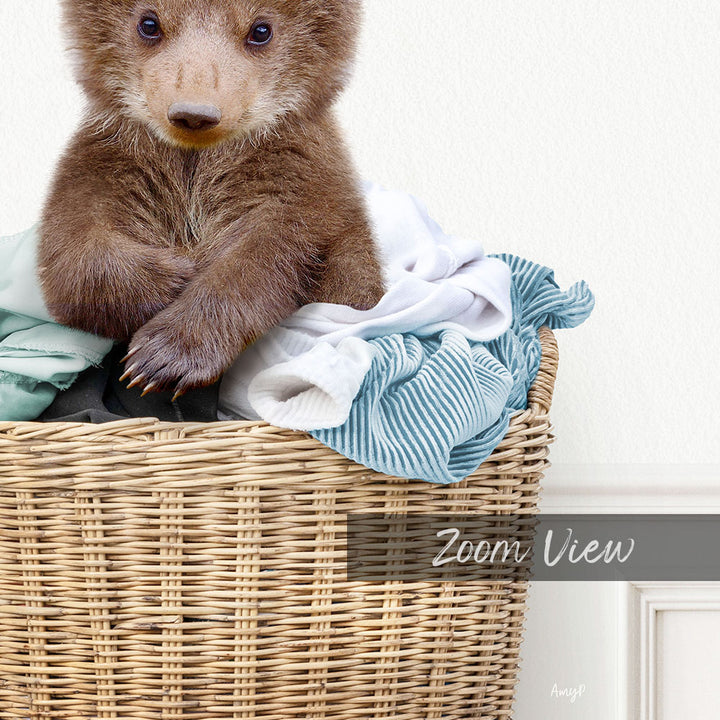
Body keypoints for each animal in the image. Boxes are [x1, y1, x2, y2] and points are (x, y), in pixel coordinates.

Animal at [38, 0, 385, 398]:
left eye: (260, 30)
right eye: (149, 24)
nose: (194, 113)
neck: (196, 162)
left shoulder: (301, 180)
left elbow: (270, 254)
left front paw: (163, 358)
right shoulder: (114, 162)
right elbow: (74, 244)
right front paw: (173, 276)